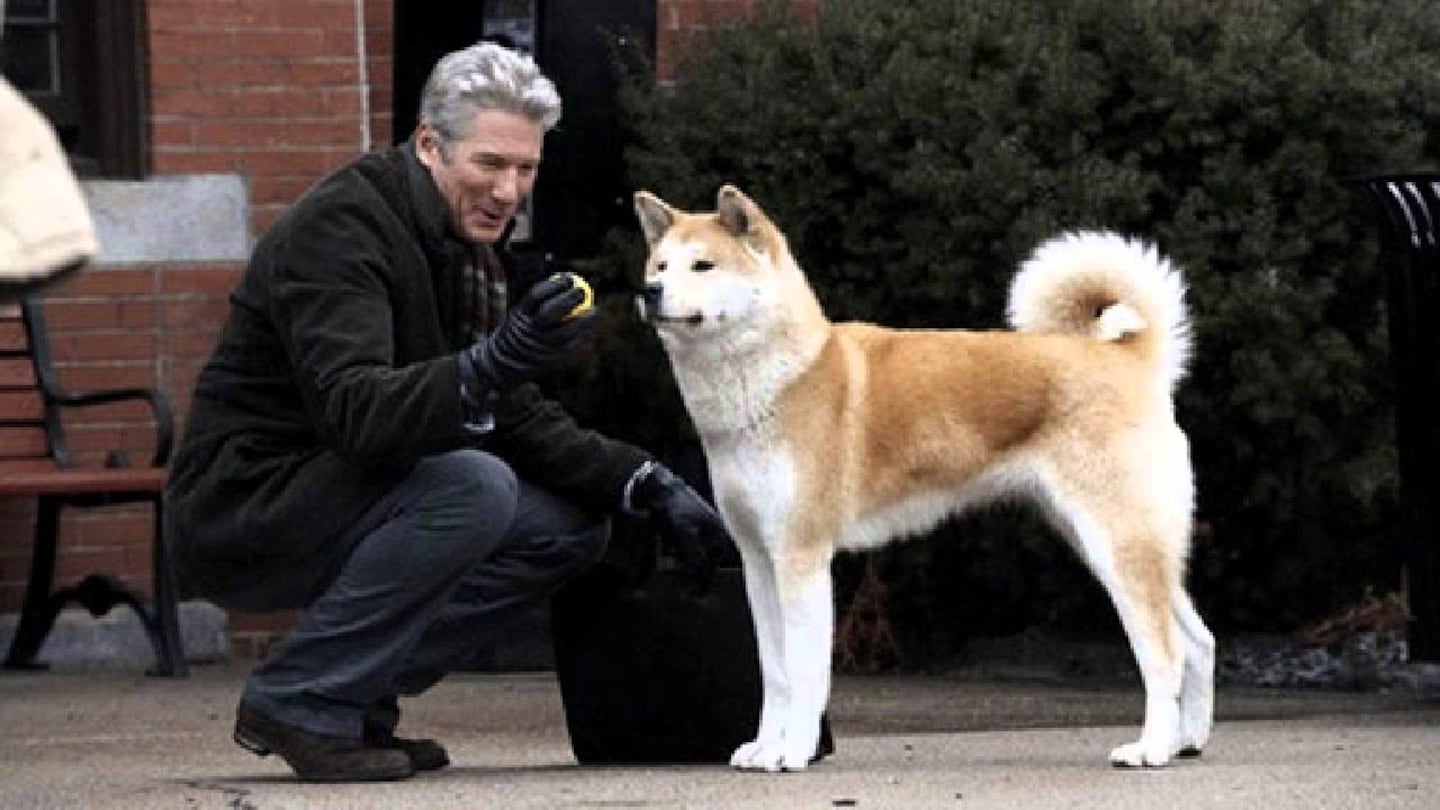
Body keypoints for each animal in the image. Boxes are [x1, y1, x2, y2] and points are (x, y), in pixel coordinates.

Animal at [636, 184, 1209, 766]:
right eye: (660, 265)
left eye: (702, 265)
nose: (648, 291)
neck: (779, 380)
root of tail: (1131, 358)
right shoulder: (758, 560)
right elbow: (774, 674)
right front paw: (764, 749)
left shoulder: (801, 557)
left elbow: (803, 672)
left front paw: (793, 752)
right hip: (1114, 543)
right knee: (1198, 643)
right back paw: (1185, 741)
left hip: (1116, 544)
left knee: (1165, 651)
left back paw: (1151, 748)